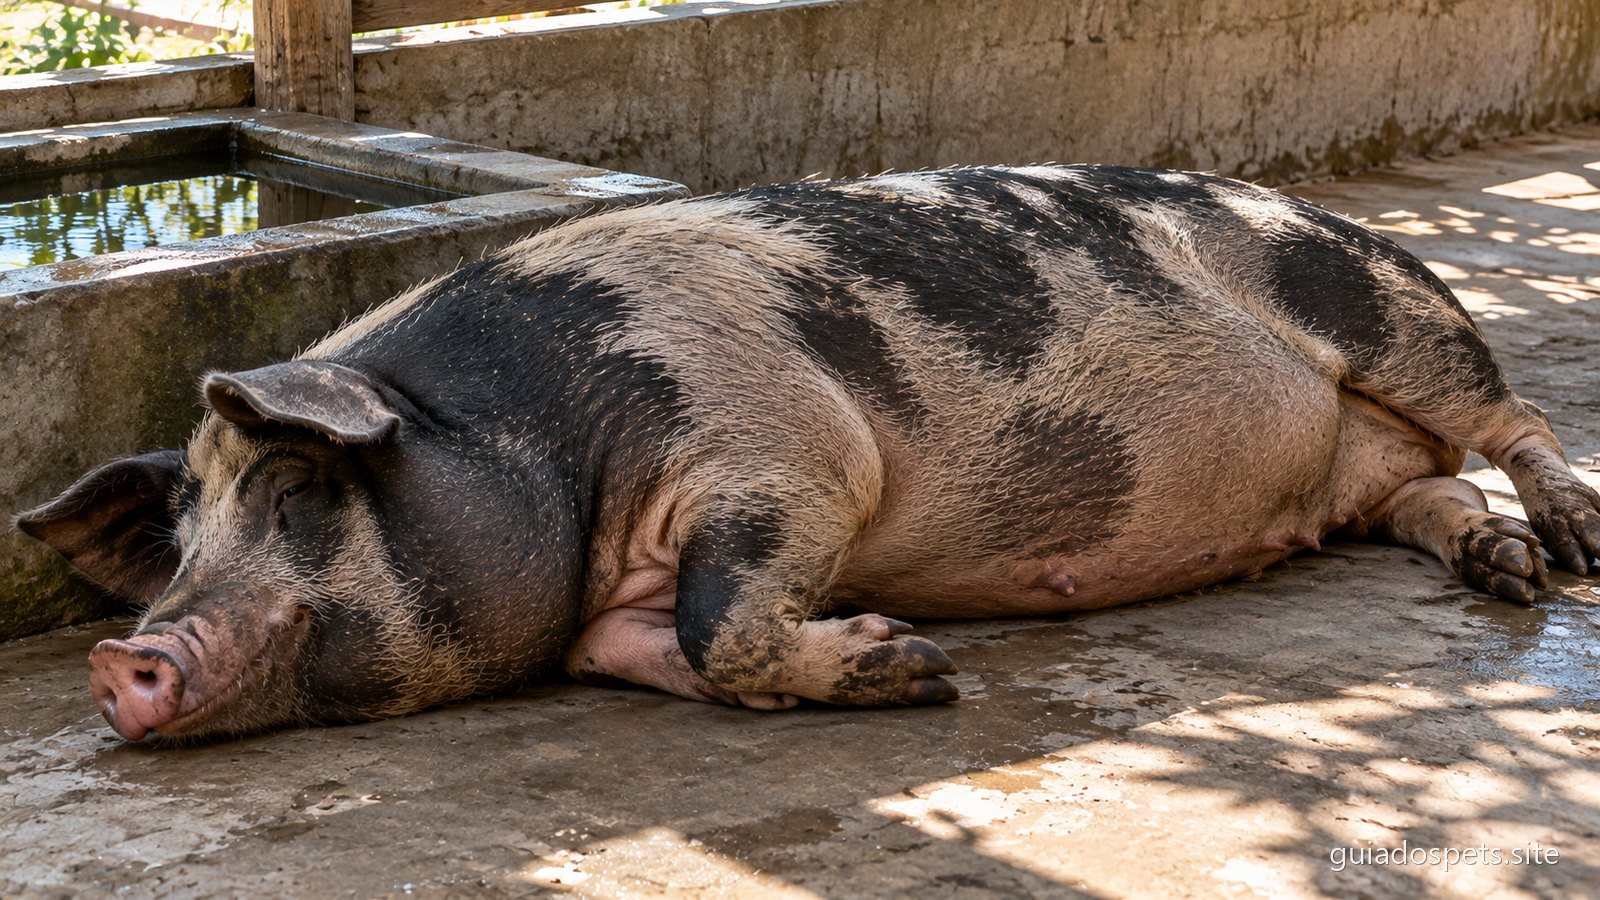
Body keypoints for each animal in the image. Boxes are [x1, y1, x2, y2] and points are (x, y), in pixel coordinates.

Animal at [16, 165, 1600, 742]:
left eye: (297, 488)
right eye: (179, 539)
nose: (121, 657)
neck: (547, 429)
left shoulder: (789, 453)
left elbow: (721, 621)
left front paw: (922, 665)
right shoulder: (605, 610)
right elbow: (666, 653)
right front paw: (900, 657)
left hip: (1392, 310)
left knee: (1509, 420)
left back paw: (1569, 552)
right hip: (1359, 453)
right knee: (1420, 492)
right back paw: (1505, 570)